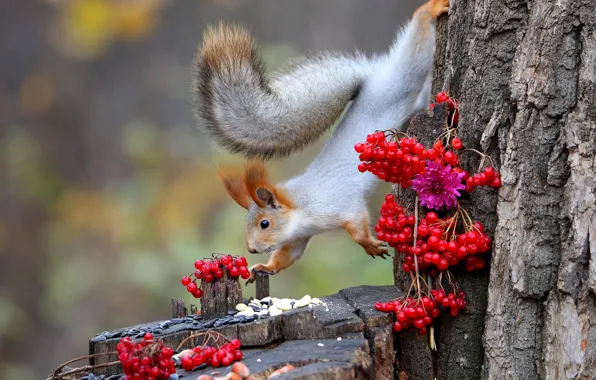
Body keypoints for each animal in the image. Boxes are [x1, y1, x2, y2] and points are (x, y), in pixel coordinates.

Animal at [193, 0, 450, 280]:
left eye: (264, 223)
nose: (251, 249)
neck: (302, 206)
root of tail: (375, 79)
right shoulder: (298, 237)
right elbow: (288, 256)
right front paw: (264, 267)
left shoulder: (341, 203)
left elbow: (356, 227)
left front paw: (369, 244)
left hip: (402, 80)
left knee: (416, 49)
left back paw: (430, 10)